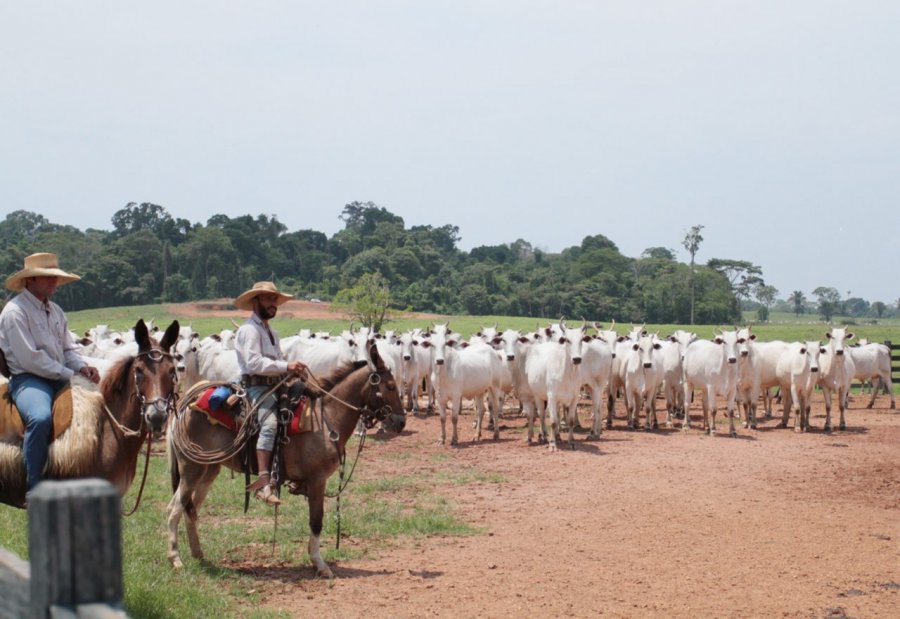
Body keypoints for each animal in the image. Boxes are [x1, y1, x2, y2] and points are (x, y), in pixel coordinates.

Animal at [167, 340, 406, 576]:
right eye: (390, 386)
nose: (401, 422)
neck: (325, 419)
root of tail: (183, 408)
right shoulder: (317, 480)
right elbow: (316, 521)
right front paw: (320, 564)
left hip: (208, 470)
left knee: (189, 509)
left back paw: (198, 553)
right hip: (191, 470)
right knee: (175, 509)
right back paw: (175, 558)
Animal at [520, 320, 592, 450]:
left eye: (581, 340)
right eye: (567, 340)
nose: (577, 359)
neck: (568, 374)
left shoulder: (574, 398)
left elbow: (570, 421)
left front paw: (571, 442)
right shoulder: (552, 397)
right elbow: (553, 421)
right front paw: (552, 443)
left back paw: (557, 436)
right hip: (538, 396)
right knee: (542, 416)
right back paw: (543, 436)